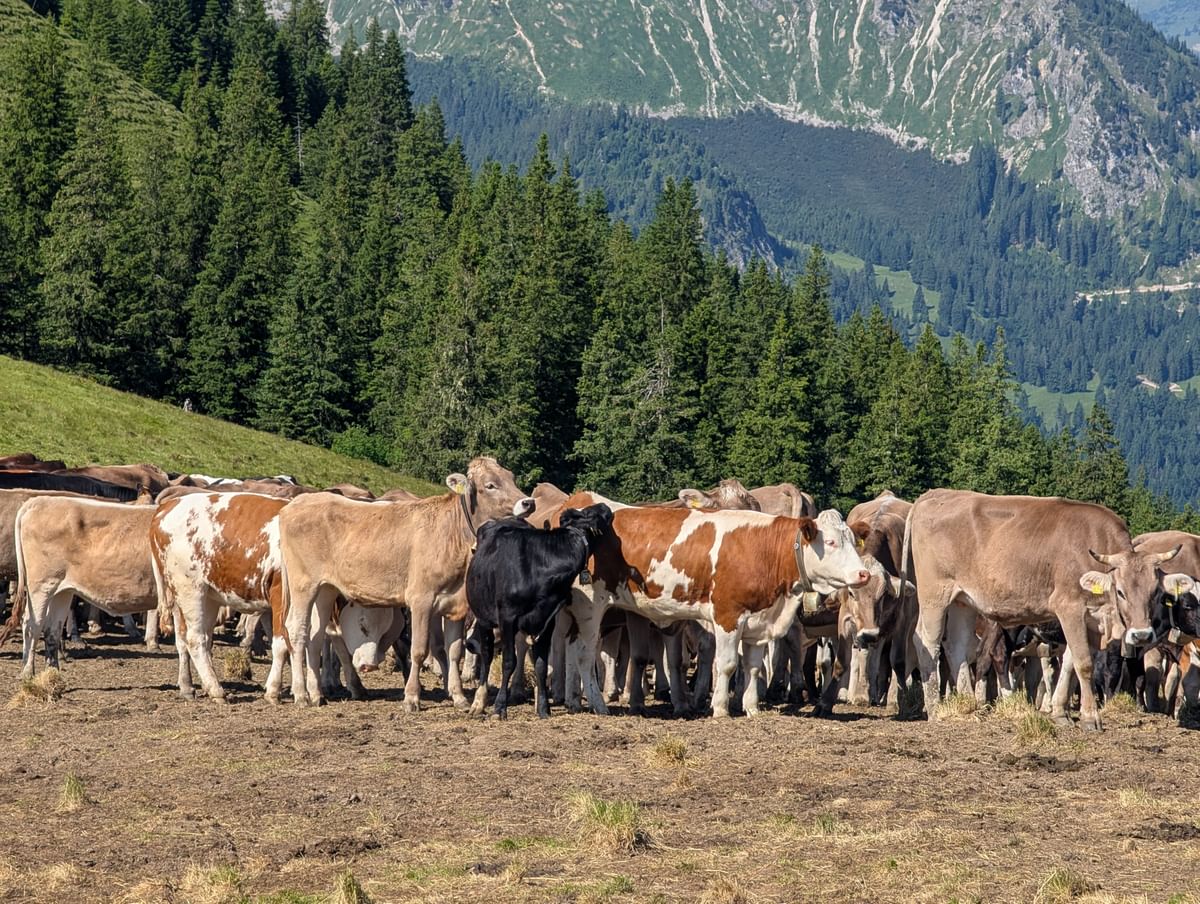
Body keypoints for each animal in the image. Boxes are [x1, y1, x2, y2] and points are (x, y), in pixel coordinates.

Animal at [3, 496, 157, 678]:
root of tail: (39, 500)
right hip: (41, 585)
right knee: (31, 624)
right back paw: (27, 671)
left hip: (61, 590)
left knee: (52, 628)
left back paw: (52, 672)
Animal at [278, 457, 535, 708]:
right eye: (490, 485)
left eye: (511, 477)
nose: (528, 502)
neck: (451, 534)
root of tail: (295, 504)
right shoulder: (421, 600)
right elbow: (419, 650)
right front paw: (412, 697)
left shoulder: (455, 604)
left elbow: (454, 650)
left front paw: (459, 696)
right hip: (303, 585)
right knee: (298, 631)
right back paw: (301, 694)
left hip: (326, 590)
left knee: (316, 635)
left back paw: (316, 693)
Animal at [465, 504, 615, 718]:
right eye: (592, 513)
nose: (604, 506)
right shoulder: (507, 618)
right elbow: (509, 662)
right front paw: (500, 706)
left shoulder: (547, 621)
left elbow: (541, 665)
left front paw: (544, 708)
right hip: (484, 617)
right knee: (486, 654)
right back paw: (479, 701)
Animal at [552, 492, 870, 718]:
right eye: (830, 542)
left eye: (853, 541)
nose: (863, 574)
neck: (763, 549)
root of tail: (578, 502)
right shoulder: (727, 615)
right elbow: (728, 664)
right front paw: (720, 708)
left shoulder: (758, 621)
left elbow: (753, 667)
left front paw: (751, 708)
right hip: (590, 606)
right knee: (584, 653)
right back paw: (598, 704)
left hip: (575, 612)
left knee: (572, 648)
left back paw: (575, 702)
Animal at [902, 489, 1190, 730]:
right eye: (1120, 591)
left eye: (1155, 593)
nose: (1141, 635)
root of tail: (936, 494)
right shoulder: (1069, 607)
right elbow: (1084, 663)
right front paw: (1090, 718)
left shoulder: (1088, 619)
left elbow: (1070, 665)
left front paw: (1060, 712)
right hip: (935, 594)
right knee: (926, 641)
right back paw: (935, 708)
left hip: (963, 601)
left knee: (956, 647)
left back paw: (968, 706)